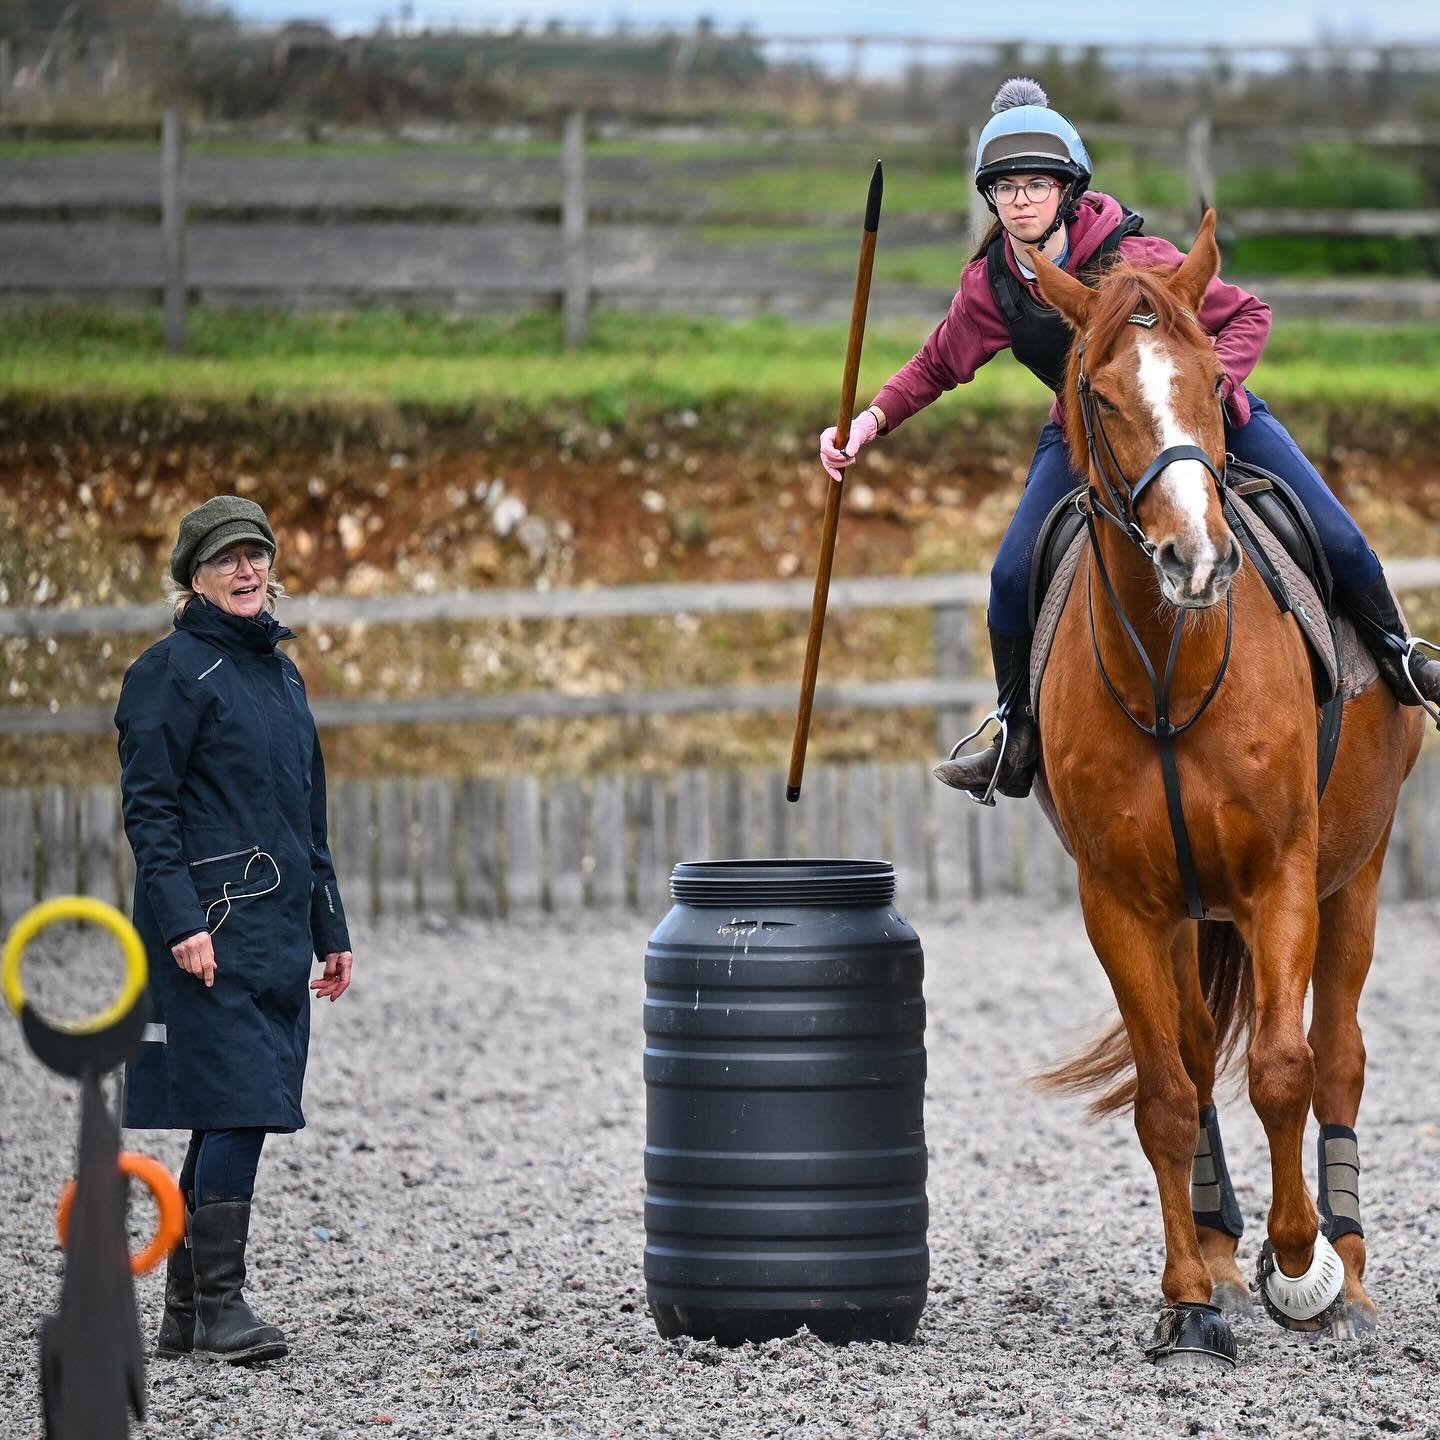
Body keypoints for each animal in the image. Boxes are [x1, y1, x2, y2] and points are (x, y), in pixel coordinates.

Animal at [1031, 216, 1422, 1370]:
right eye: (1100, 394)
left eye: (1212, 379)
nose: (1197, 560)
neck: (1173, 663)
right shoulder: (1122, 904)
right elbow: (1168, 1096)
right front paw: (1189, 1299)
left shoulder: (1281, 880)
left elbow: (1287, 1069)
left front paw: (1301, 1263)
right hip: (1185, 918)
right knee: (1200, 1062)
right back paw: (1215, 1252)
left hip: (1355, 881)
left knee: (1337, 1058)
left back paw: (1346, 1264)